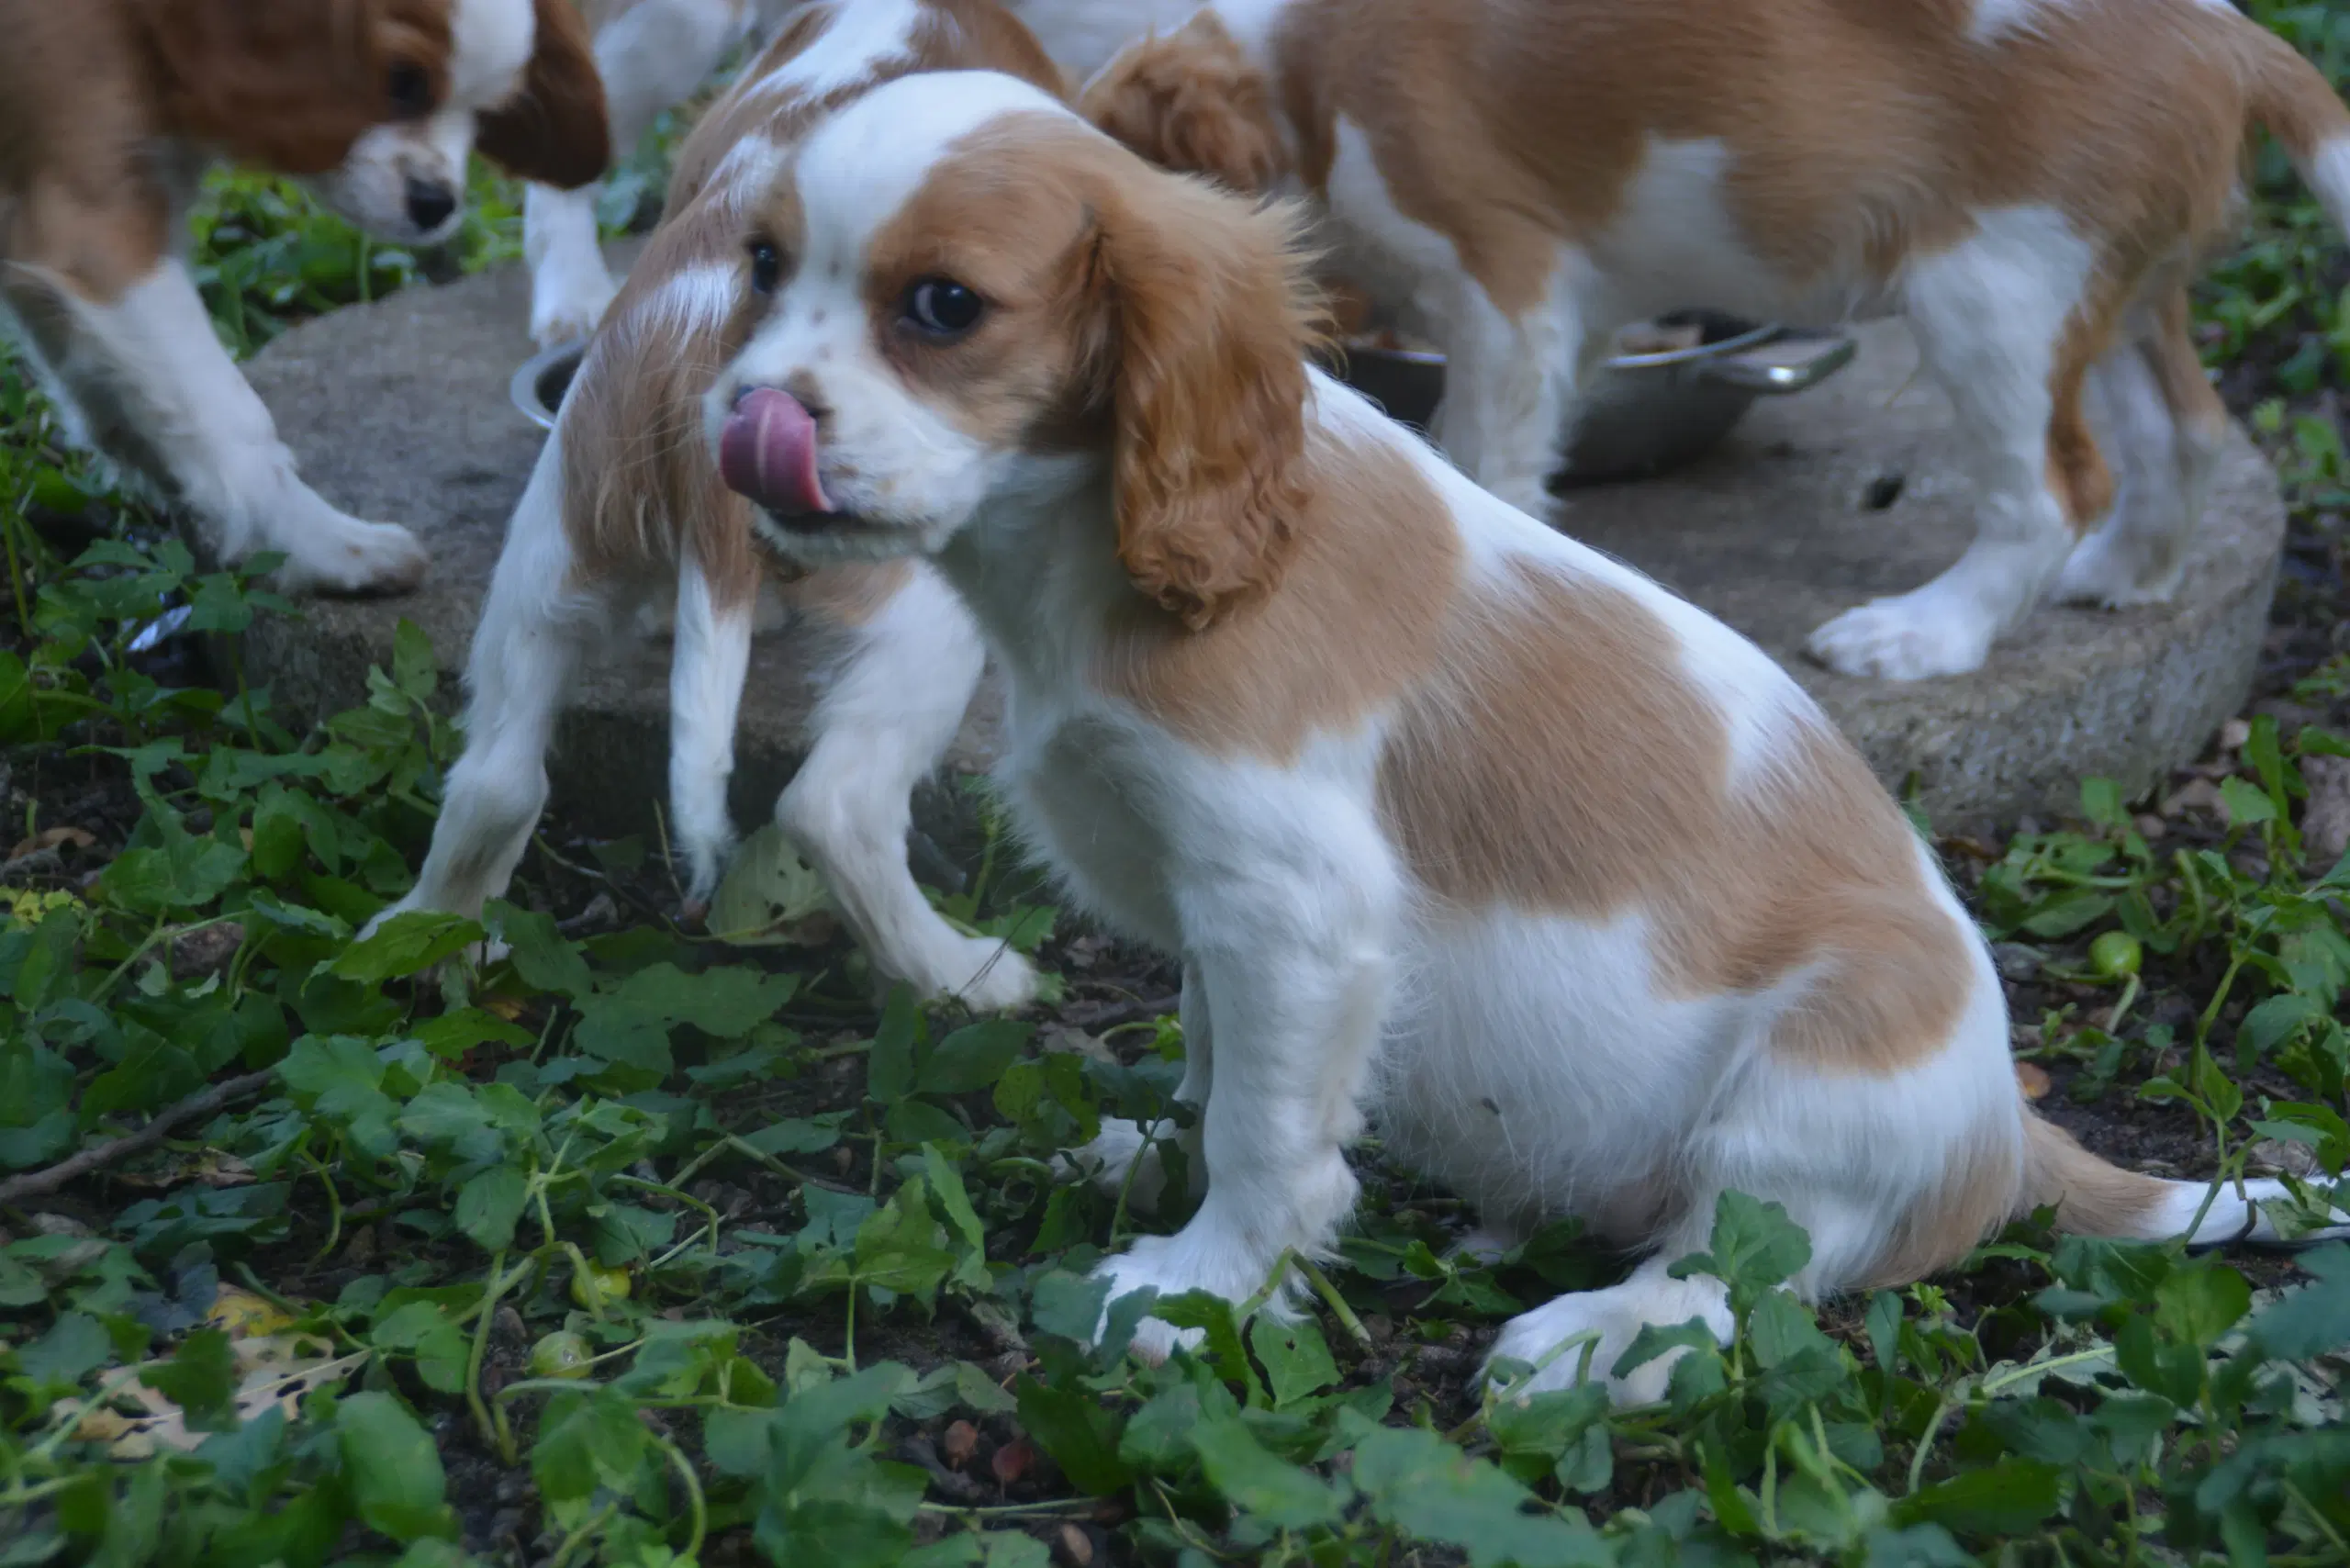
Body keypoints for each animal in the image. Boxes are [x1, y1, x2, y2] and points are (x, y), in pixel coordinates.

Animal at [2, 0, 606, 594]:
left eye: (487, 109)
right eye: (404, 81)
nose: (438, 204)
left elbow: (123, 398)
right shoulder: (94, 229)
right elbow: (228, 415)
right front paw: (319, 547)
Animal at [699, 70, 2350, 1401]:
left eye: (942, 308)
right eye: (764, 266)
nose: (743, 417)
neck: (1089, 552)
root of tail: (2010, 1130)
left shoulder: (1295, 902)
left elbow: (1265, 1127)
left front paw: (1199, 1284)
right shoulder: (1223, 921)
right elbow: (1217, 1060)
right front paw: (1155, 1160)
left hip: (1815, 1077)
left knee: (1744, 1275)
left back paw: (1591, 1343)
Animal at [1076, 0, 2350, 681]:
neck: (1300, 66)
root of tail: (2228, 40)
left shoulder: (1503, 279)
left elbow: (1481, 448)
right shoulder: (1576, 313)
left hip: (1993, 291)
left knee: (2053, 489)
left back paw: (1924, 633)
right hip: (2115, 282)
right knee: (2184, 428)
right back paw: (2128, 576)